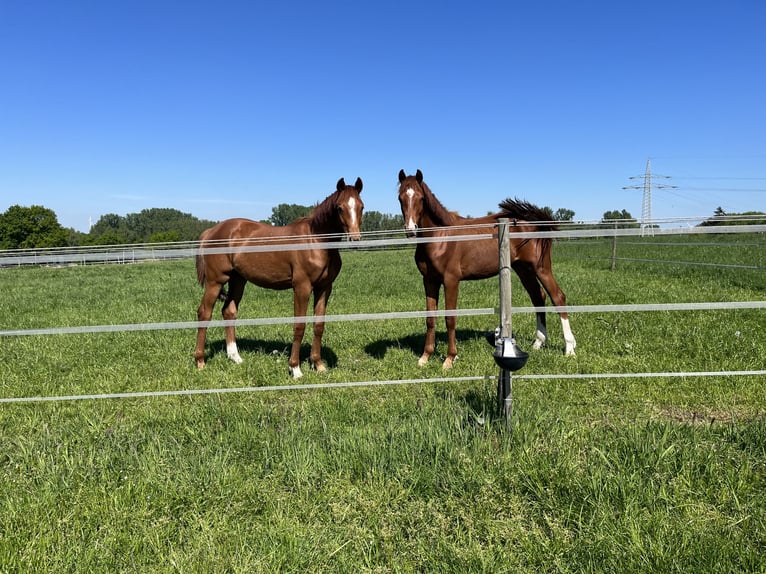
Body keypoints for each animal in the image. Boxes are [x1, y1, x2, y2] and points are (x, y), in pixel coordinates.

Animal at [198, 178, 366, 380]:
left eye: (361, 207)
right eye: (340, 208)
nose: (355, 238)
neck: (316, 241)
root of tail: (212, 231)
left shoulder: (324, 288)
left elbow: (319, 325)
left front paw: (318, 365)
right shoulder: (302, 287)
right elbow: (299, 325)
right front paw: (295, 368)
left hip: (238, 280)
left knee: (229, 311)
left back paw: (235, 357)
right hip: (215, 281)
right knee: (204, 313)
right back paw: (200, 361)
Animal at [402, 170, 576, 368]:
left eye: (421, 198)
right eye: (401, 197)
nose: (411, 229)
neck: (441, 238)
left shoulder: (451, 281)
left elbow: (450, 319)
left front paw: (449, 359)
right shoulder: (429, 281)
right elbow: (430, 319)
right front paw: (425, 357)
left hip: (541, 268)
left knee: (557, 297)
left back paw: (569, 348)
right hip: (523, 269)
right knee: (538, 297)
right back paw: (538, 343)